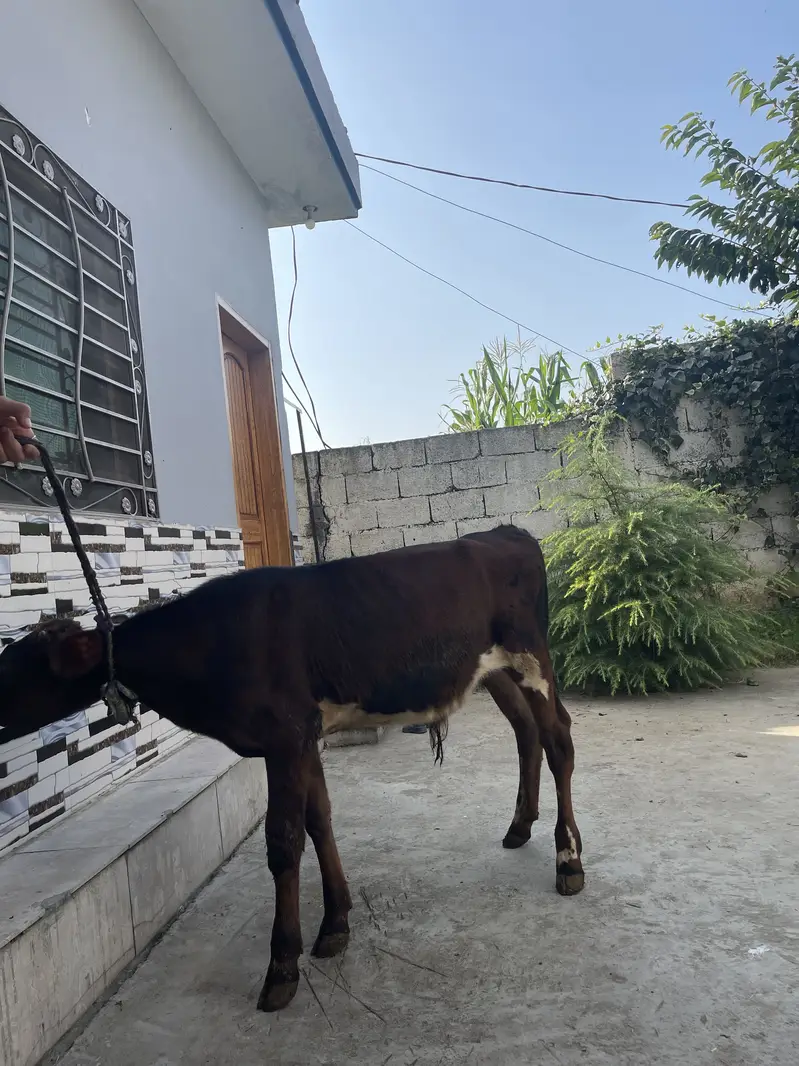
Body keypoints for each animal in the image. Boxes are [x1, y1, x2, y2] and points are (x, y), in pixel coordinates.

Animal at [0, 524, 583, 1012]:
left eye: (13, 671)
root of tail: (504, 533)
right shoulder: (304, 737)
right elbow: (319, 820)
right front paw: (336, 923)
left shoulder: (283, 736)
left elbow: (282, 842)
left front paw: (282, 965)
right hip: (495, 670)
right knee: (527, 734)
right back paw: (519, 826)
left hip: (531, 654)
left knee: (558, 739)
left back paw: (568, 860)